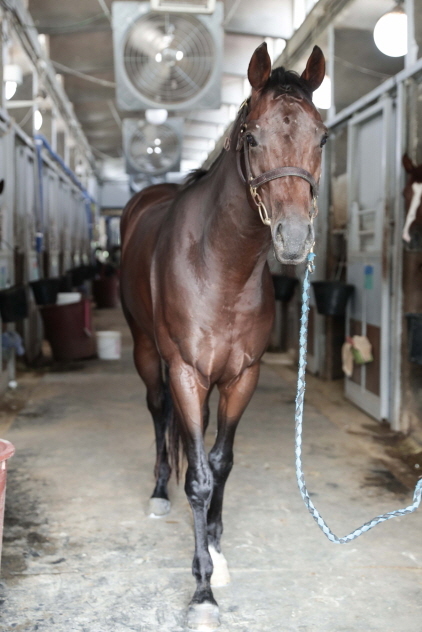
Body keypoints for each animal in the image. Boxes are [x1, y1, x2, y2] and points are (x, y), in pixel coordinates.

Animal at [120, 43, 328, 628]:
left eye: (322, 136)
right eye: (252, 136)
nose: (293, 238)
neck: (221, 266)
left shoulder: (241, 376)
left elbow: (220, 463)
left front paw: (214, 549)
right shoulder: (186, 373)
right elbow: (197, 478)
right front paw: (202, 591)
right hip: (149, 355)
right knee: (158, 414)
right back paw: (159, 492)